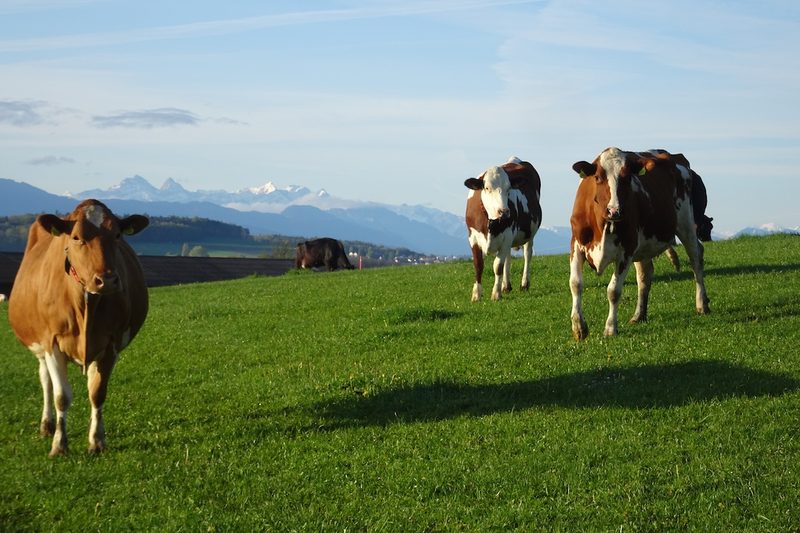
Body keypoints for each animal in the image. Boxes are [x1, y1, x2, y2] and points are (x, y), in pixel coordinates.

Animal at [8, 199, 149, 456]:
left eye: (117, 234)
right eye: (76, 237)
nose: (107, 280)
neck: (85, 306)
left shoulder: (110, 344)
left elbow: (97, 392)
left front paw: (97, 440)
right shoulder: (52, 342)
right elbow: (61, 396)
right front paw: (59, 444)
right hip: (39, 345)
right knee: (45, 380)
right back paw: (47, 425)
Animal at [464, 156, 542, 301]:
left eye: (508, 188)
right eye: (487, 188)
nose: (504, 211)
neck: (490, 223)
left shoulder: (507, 237)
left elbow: (498, 267)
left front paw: (496, 293)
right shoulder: (473, 237)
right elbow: (478, 265)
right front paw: (476, 294)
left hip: (530, 232)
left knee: (527, 254)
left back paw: (524, 284)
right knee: (508, 258)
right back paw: (506, 286)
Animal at [568, 147, 710, 341]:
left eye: (628, 178)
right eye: (597, 177)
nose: (614, 211)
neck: (603, 223)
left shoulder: (626, 250)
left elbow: (613, 291)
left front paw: (610, 328)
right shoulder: (576, 245)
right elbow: (575, 284)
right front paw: (579, 327)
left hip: (687, 224)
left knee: (696, 258)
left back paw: (702, 304)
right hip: (645, 245)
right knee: (645, 275)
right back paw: (639, 315)